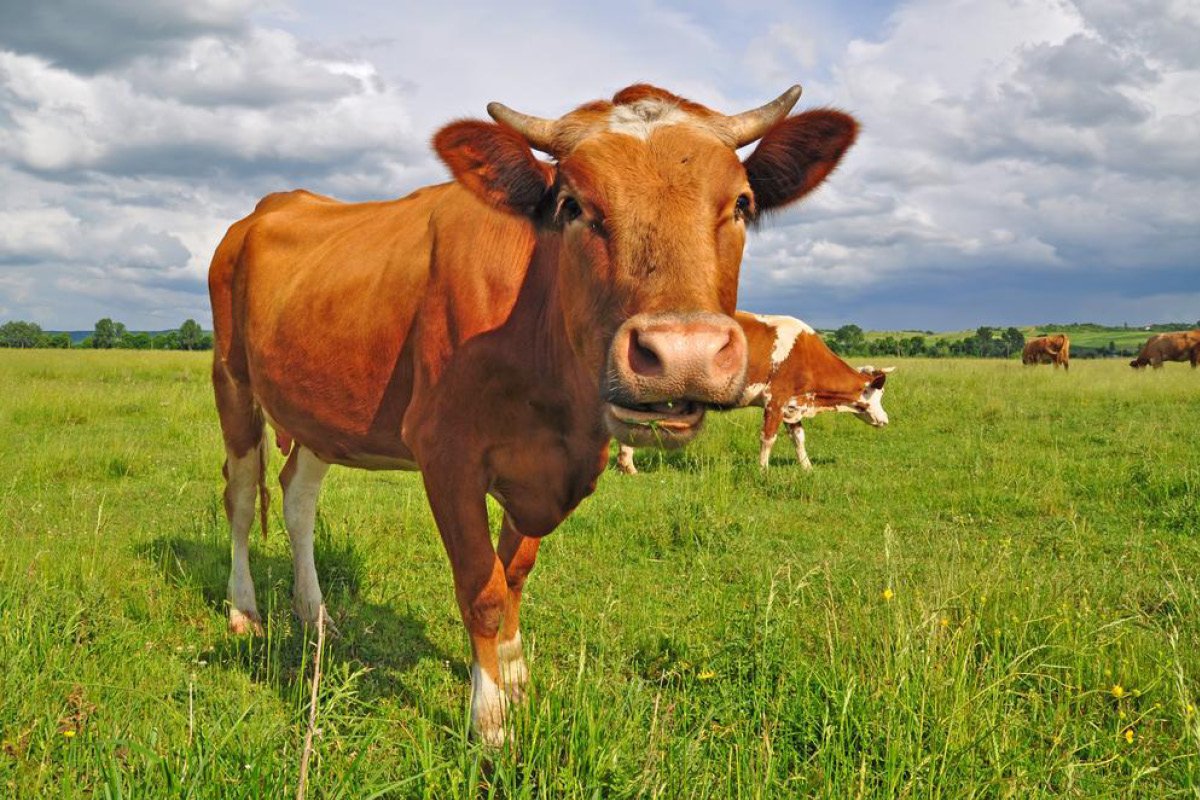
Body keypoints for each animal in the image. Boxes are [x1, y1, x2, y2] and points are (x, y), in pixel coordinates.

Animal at [208, 84, 859, 744]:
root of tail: (270, 205)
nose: (683, 355)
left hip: (319, 414)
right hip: (232, 381)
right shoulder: (446, 454)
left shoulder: (552, 465)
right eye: (571, 206)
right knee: (241, 498)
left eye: (743, 204)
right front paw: (490, 719)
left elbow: (515, 572)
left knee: (297, 499)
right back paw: (244, 610)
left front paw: (515, 676)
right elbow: (483, 588)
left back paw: (315, 615)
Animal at [616, 313, 891, 474]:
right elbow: (768, 438)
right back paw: (628, 466)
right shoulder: (776, 399)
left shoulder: (792, 405)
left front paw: (807, 467)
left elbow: (799, 438)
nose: (885, 420)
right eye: (877, 395)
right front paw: (762, 469)